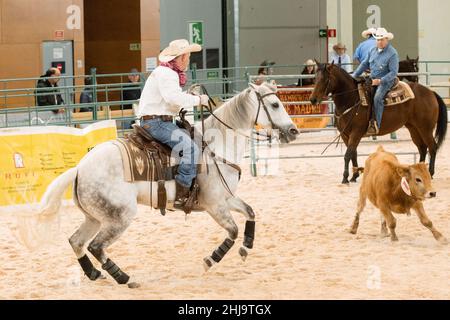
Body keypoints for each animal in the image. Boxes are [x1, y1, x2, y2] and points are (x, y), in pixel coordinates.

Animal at [37, 82, 298, 288]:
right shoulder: (214, 205)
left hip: (95, 217)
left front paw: (246, 247)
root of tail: (79, 168)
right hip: (119, 217)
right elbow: (232, 231)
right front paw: (211, 259)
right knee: (96, 246)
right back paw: (125, 278)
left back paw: (93, 274)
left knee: (76, 241)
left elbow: (250, 213)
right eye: (275, 104)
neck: (216, 146)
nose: (293, 131)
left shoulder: (226, 199)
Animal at [310, 62, 446, 184]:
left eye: (325, 79)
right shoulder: (345, 135)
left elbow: (347, 154)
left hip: (425, 128)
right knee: (422, 148)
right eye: (315, 78)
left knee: (432, 147)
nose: (313, 99)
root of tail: (431, 92)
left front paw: (345, 178)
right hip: (413, 128)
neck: (352, 98)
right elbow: (353, 153)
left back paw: (430, 173)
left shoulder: (356, 133)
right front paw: (354, 176)